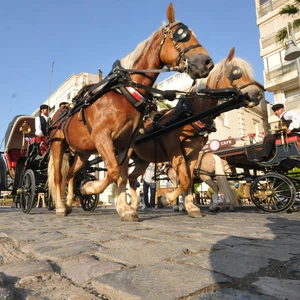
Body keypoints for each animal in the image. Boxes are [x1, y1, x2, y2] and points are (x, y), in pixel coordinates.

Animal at [48, 2, 213, 220]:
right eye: (181, 35)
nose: (207, 62)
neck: (125, 91)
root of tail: (61, 112)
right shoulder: (103, 137)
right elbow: (113, 171)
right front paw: (89, 188)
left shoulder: (125, 143)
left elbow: (122, 175)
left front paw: (124, 208)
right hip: (58, 145)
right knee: (59, 176)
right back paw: (60, 205)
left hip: (83, 153)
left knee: (71, 174)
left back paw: (68, 203)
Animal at [127, 47, 264, 217]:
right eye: (236, 72)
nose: (258, 94)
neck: (189, 116)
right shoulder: (175, 154)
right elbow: (184, 183)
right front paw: (173, 203)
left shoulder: (190, 158)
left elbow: (187, 182)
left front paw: (187, 206)